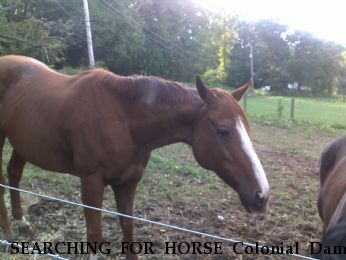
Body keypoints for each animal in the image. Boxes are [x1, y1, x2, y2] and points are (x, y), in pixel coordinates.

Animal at [0, 54, 270, 258]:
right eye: (223, 131)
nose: (262, 195)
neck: (123, 120)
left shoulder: (128, 183)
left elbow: (127, 228)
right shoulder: (91, 182)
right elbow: (95, 235)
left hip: (24, 143)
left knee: (14, 174)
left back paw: (22, 223)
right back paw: (10, 234)